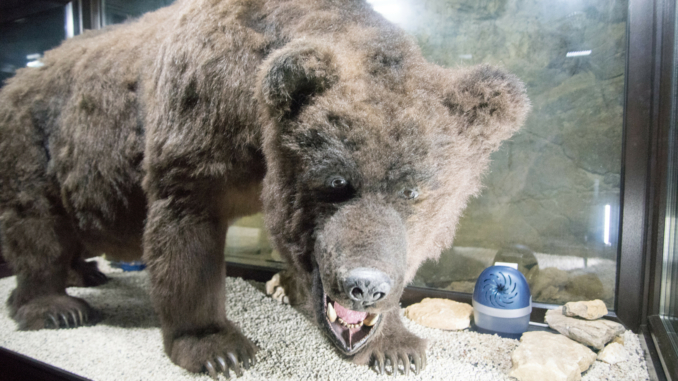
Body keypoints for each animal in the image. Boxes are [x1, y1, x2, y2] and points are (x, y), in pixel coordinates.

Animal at [0, 0, 532, 376]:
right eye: (337, 181)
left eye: (414, 191)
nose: (363, 286)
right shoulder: (196, 134)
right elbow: (186, 238)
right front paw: (217, 348)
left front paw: (395, 346)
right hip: (33, 142)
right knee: (36, 226)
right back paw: (56, 306)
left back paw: (85, 272)